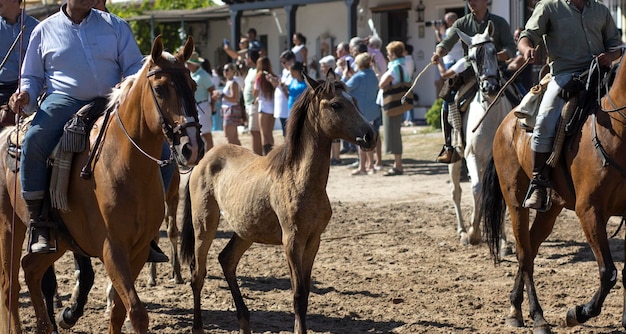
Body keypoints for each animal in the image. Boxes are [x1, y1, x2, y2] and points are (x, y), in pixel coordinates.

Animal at [0, 35, 204, 332]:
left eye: (193, 86)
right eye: (160, 89)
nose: (192, 147)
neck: (124, 165)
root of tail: (7, 134)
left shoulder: (138, 250)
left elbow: (119, 311)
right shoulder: (112, 249)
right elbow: (137, 312)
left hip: (61, 240)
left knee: (31, 268)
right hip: (10, 226)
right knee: (9, 285)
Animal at [179, 72, 376, 332]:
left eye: (353, 100)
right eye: (336, 104)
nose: (370, 135)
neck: (299, 179)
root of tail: (203, 159)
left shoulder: (313, 241)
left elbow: (305, 293)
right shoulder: (291, 241)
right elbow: (297, 294)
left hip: (245, 230)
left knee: (227, 260)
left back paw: (245, 321)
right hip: (204, 226)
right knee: (198, 275)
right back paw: (198, 326)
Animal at [448, 20, 512, 253]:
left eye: (494, 51)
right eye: (473, 57)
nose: (490, 87)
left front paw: (502, 241)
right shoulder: (472, 156)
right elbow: (476, 190)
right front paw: (473, 234)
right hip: (455, 160)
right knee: (456, 192)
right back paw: (461, 230)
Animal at [482, 56, 626, 332]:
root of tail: (507, 122)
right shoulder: (589, 211)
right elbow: (608, 272)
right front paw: (578, 312)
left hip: (551, 210)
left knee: (531, 247)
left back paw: (515, 309)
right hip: (516, 202)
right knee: (525, 253)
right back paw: (537, 316)